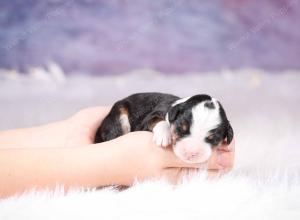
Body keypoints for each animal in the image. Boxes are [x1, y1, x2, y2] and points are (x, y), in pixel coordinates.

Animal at [95, 92, 233, 163]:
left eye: (213, 139)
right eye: (181, 129)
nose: (190, 153)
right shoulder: (150, 118)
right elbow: (158, 121)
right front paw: (163, 136)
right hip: (119, 116)